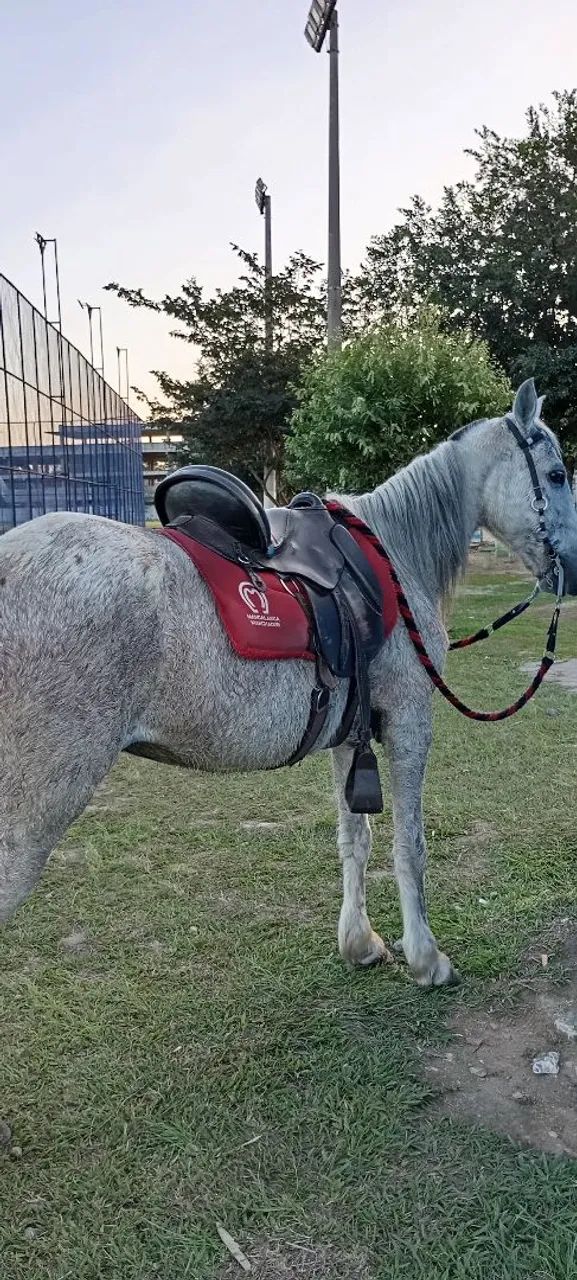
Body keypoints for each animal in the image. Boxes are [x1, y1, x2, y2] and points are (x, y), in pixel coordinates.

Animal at [1, 378, 577, 987]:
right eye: (557, 475)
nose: (574, 571)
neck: (395, 552)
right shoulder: (409, 721)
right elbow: (409, 843)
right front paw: (426, 959)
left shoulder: (351, 734)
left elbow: (356, 839)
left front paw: (360, 944)